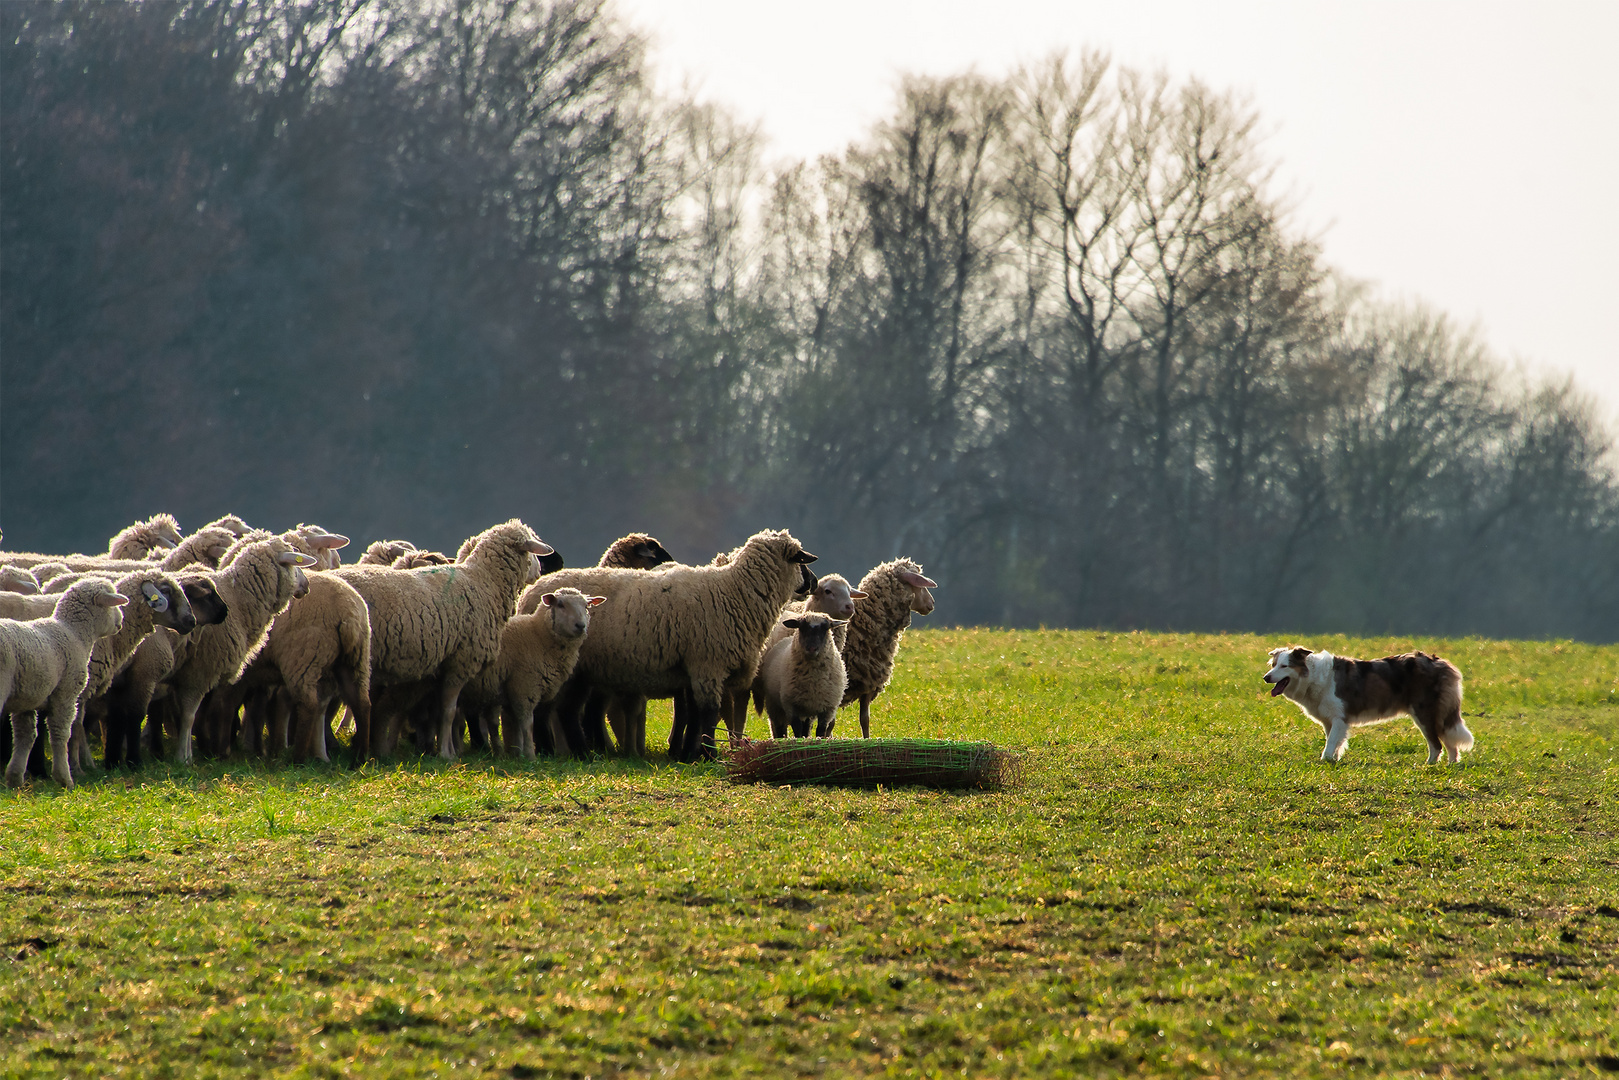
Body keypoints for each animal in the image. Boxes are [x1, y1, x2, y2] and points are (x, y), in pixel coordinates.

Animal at [1, 579, 127, 790]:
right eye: (112, 603)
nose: (121, 622)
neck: (74, 633)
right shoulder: (66, 694)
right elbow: (61, 734)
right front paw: (64, 779)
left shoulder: (27, 698)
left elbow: (25, 736)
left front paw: (15, 779)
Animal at [331, 518, 553, 761]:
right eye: (532, 551)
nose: (539, 572)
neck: (485, 582)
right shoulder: (461, 661)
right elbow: (449, 712)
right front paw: (447, 754)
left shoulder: (439, 668)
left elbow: (439, 714)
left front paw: (441, 748)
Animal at [1262, 647, 1483, 764]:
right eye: (1273, 665)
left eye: (1284, 666)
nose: (1265, 678)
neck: (1314, 677)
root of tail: (1441, 662)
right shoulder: (1329, 721)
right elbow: (1334, 742)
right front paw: (1334, 759)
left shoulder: (1339, 718)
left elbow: (1330, 744)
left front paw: (1326, 761)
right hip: (1437, 716)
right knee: (1450, 743)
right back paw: (1450, 765)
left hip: (1424, 714)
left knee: (1436, 745)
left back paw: (1427, 766)